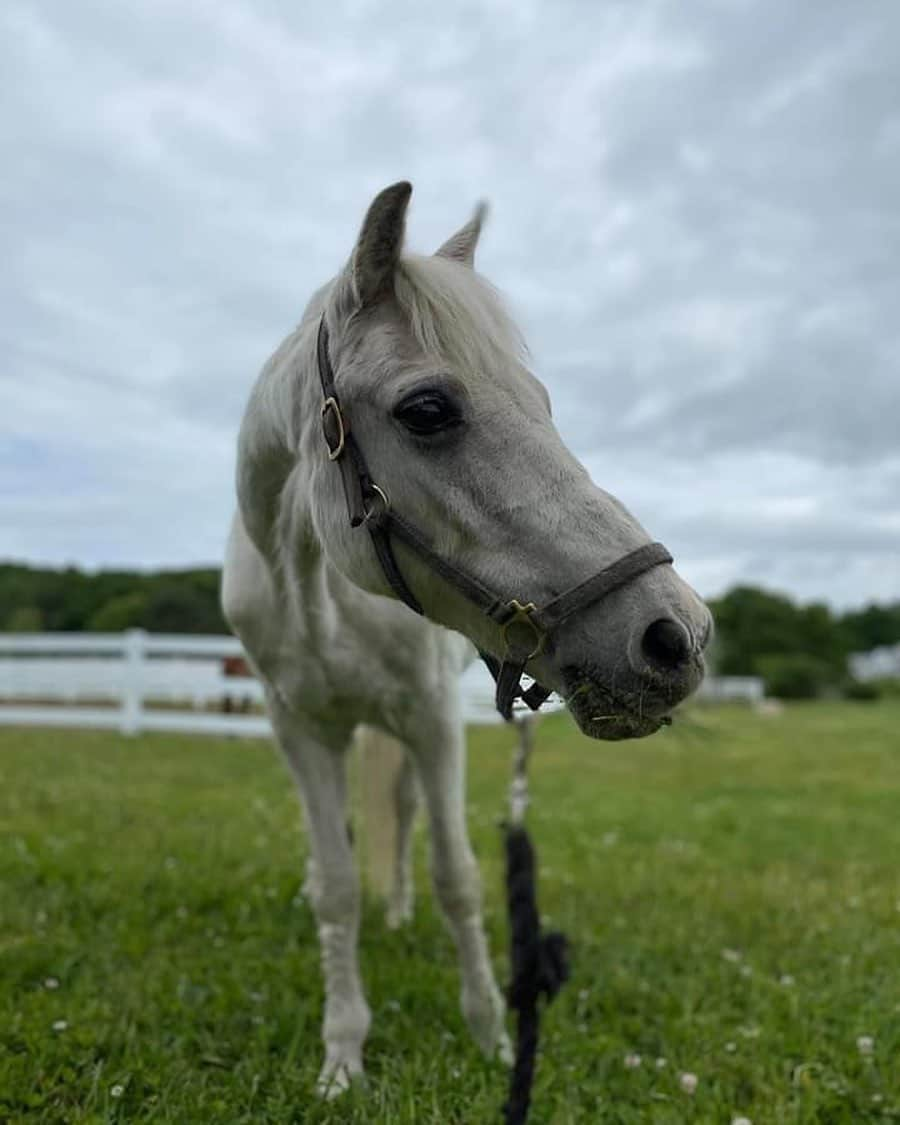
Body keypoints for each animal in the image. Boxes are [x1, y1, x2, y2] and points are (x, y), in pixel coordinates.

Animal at [221, 180, 715, 1093]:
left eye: (544, 404)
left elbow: (458, 876)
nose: (678, 635)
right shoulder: (298, 727)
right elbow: (335, 883)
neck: (314, 589)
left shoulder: (433, 720)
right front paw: (342, 1050)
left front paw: (490, 1030)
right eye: (428, 410)